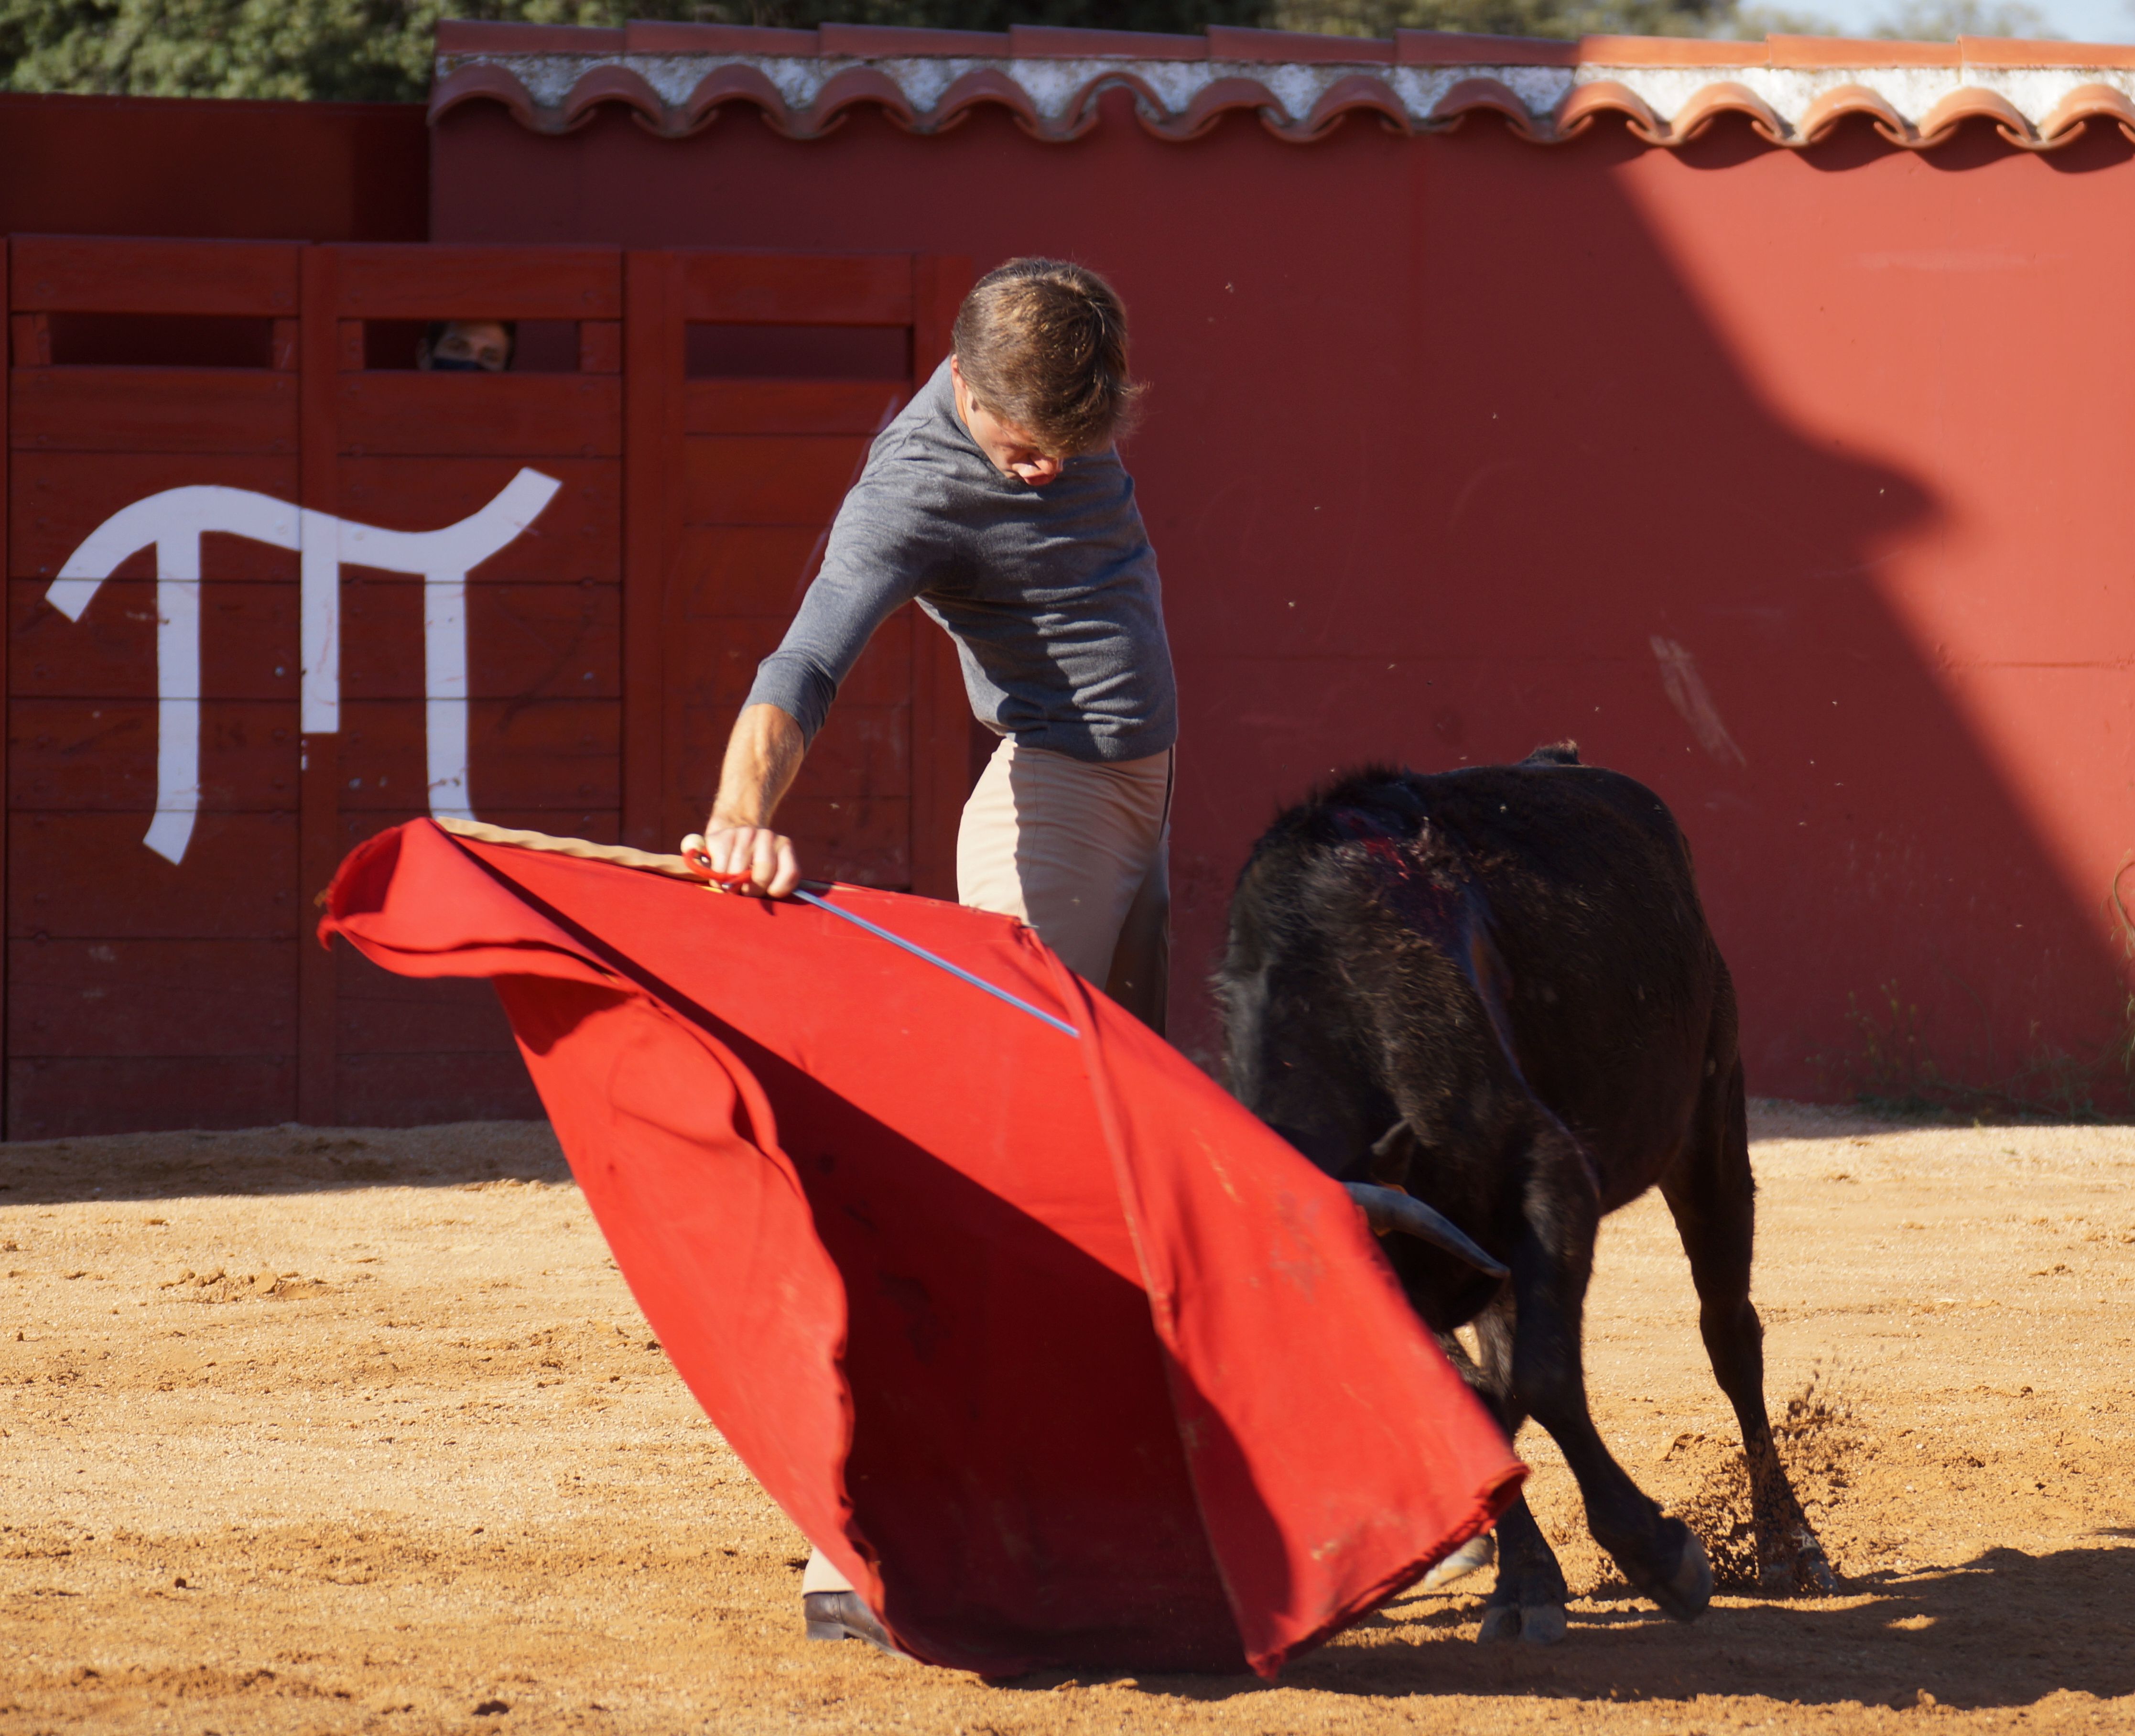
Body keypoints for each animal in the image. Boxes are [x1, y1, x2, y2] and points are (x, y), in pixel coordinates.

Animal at [1221, 743, 1836, 1639]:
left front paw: (1662, 1557)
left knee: (1729, 1334)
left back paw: (1789, 1549)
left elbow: (1538, 1377)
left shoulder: (1548, 1179)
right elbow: (1479, 1393)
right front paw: (1525, 1584)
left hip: (1709, 1125)